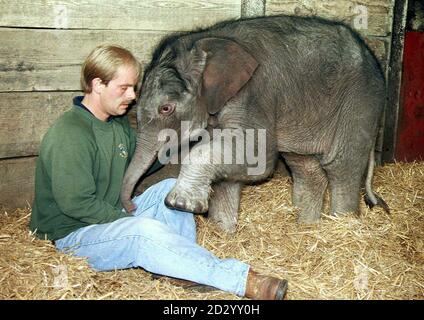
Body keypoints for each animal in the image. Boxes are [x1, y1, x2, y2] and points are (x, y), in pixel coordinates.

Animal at [121, 14, 390, 232]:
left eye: (165, 108)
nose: (132, 207)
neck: (205, 38)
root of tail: (374, 60)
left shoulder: (254, 92)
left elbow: (258, 156)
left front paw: (180, 204)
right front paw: (225, 233)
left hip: (360, 100)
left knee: (341, 165)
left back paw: (342, 225)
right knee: (303, 165)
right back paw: (305, 228)